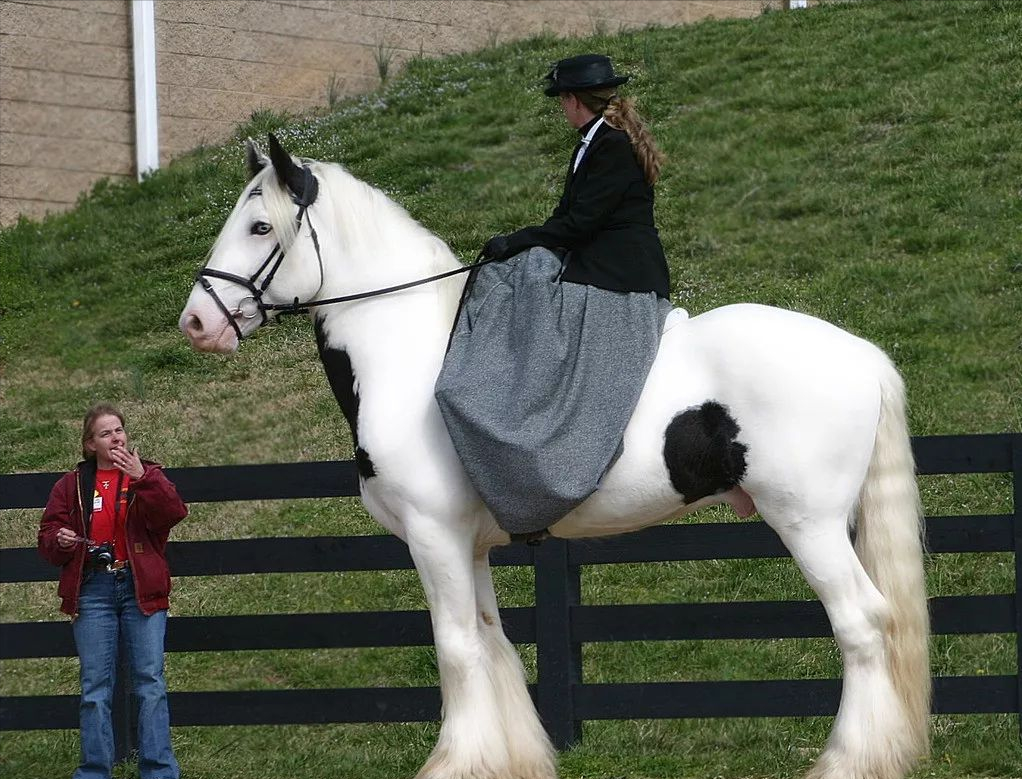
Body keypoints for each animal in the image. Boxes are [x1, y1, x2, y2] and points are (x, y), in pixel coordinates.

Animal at [179, 136, 932, 776]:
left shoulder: (431, 537)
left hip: (808, 524)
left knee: (863, 625)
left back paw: (849, 760)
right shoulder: (467, 546)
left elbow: (456, 649)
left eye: (260, 227)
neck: (411, 354)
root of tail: (862, 354)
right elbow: (492, 643)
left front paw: (455, 762)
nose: (196, 322)